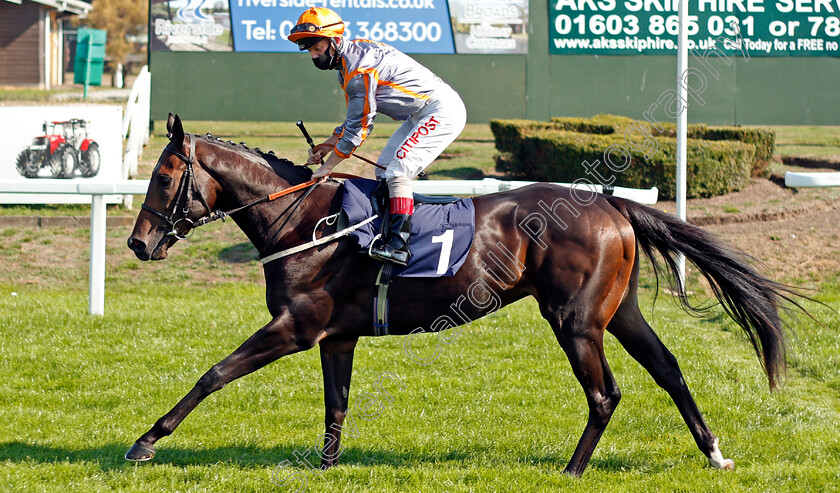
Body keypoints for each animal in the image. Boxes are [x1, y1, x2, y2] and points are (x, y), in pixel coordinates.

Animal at [124, 113, 800, 474]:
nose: (137, 243)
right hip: (619, 311)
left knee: (605, 393)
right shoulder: (336, 336)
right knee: (669, 369)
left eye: (163, 176)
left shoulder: (295, 327)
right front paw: (327, 466)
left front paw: (146, 441)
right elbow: (336, 403)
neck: (305, 223)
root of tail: (612, 204)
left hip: (575, 319)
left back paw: (574, 468)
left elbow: (214, 373)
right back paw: (714, 453)